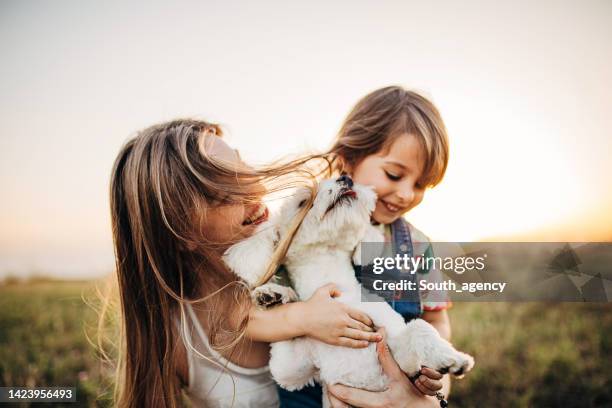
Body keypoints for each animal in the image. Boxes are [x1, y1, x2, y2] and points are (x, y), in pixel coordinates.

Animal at [224, 175, 474, 404]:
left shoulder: (402, 363)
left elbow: (419, 328)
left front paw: (452, 358)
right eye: (302, 202)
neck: (337, 288)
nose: (345, 177)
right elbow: (284, 350)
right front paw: (275, 295)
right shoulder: (290, 371)